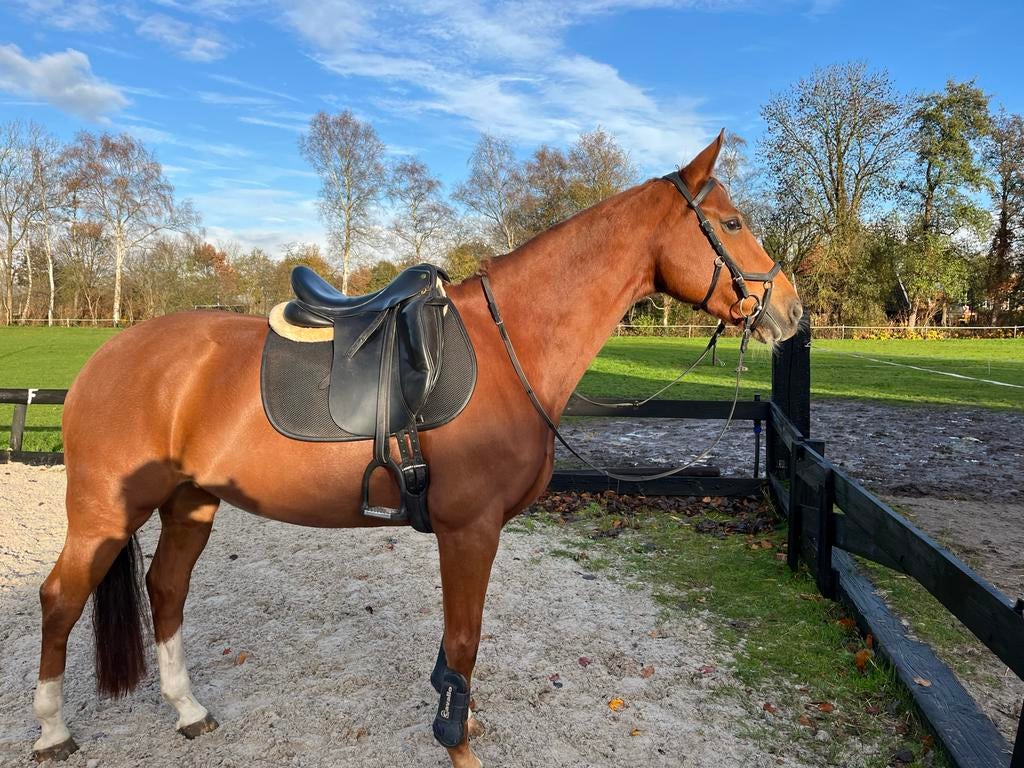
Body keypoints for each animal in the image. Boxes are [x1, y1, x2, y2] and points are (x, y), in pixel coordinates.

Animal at [30, 132, 803, 768]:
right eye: (731, 223)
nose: (791, 310)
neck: (510, 346)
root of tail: (105, 359)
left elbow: (455, 646)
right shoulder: (469, 529)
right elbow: (464, 643)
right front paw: (457, 742)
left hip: (190, 502)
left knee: (166, 589)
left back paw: (187, 710)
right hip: (105, 512)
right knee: (60, 598)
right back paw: (51, 731)